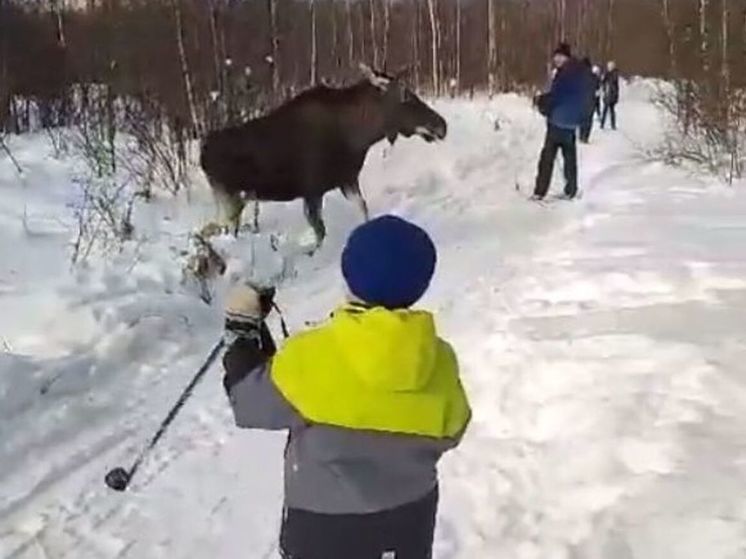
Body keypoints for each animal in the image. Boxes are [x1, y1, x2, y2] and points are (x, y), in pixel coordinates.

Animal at [199, 63, 448, 252]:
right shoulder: (312, 191)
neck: (359, 136)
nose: (441, 125)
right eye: (405, 96)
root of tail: (203, 152)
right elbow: (320, 232)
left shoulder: (346, 180)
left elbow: (363, 210)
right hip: (229, 198)